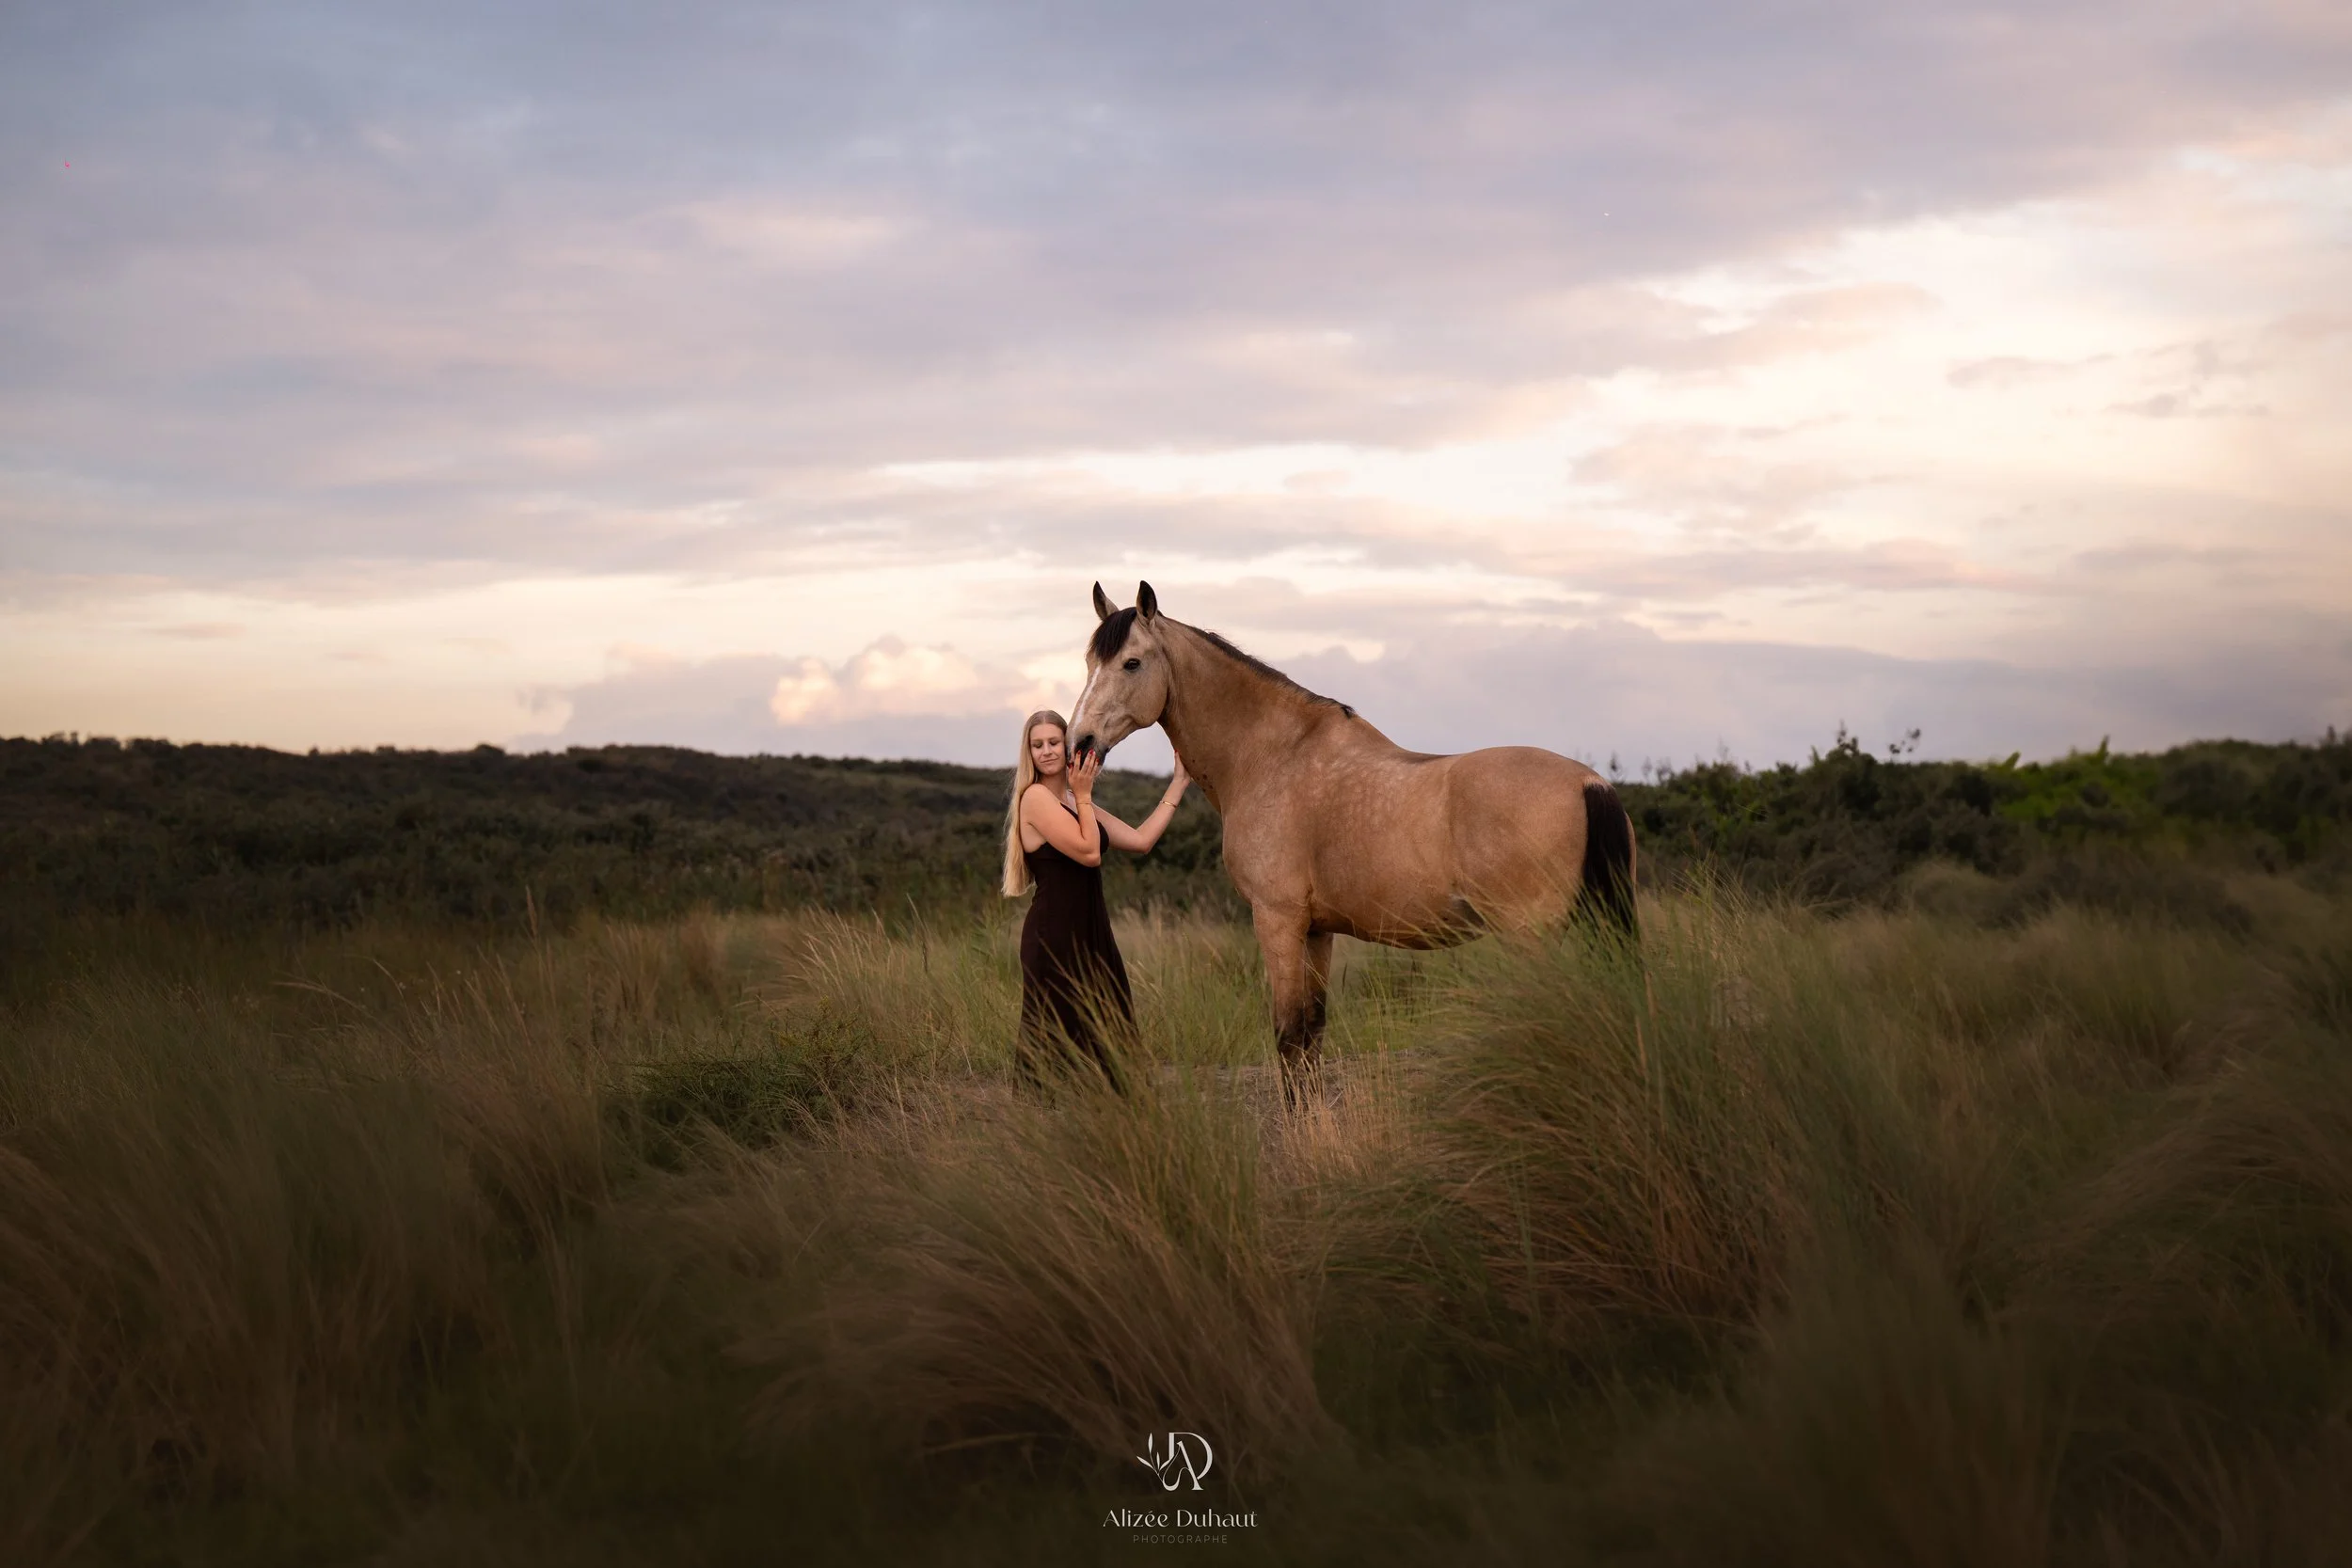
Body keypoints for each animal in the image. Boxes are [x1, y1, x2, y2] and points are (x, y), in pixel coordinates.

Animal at [1067, 581, 1638, 1105]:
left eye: (1132, 663)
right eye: (1090, 661)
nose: (1079, 742)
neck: (1273, 758)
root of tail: (1589, 783)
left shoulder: (1276, 920)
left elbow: (1287, 1034)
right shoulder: (1318, 931)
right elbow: (1312, 1033)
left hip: (1530, 938)